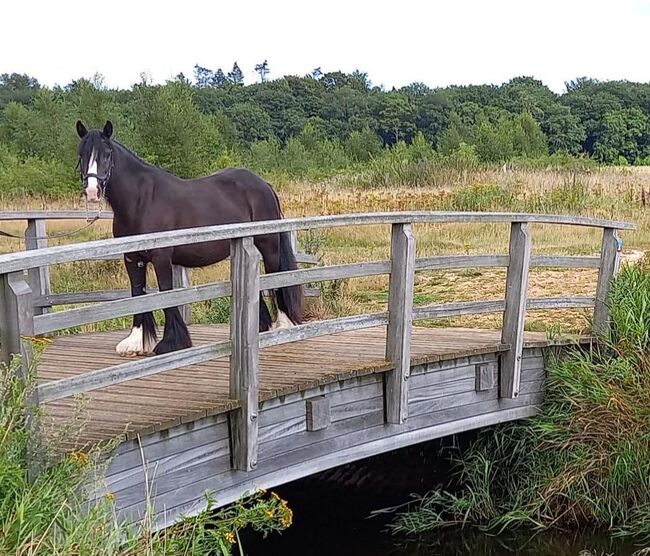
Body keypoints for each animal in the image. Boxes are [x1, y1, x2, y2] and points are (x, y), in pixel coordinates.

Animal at [74, 120, 302, 356]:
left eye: (107, 154)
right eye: (81, 154)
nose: (92, 192)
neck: (141, 201)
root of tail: (264, 185)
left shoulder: (161, 257)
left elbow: (165, 294)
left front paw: (172, 342)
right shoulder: (132, 258)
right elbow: (138, 294)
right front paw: (136, 342)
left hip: (269, 245)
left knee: (277, 278)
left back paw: (284, 326)